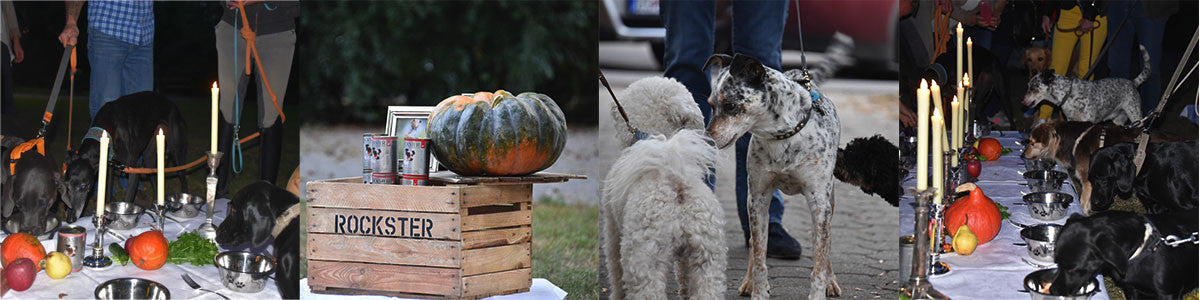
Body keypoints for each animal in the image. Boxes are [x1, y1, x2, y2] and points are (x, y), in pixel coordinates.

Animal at [63, 91, 187, 223]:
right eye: (67, 186)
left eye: (83, 186)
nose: (70, 219)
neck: (109, 125)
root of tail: (170, 102)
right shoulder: (109, 166)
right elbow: (107, 194)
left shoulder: (134, 169)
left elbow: (127, 201)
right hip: (150, 155)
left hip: (176, 152)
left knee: (182, 176)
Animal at [705, 52, 840, 298]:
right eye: (711, 105)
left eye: (730, 105)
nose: (706, 138)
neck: (783, 137)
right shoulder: (758, 197)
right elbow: (759, 254)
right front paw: (758, 290)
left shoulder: (820, 202)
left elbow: (820, 256)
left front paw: (820, 289)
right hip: (752, 200)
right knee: (754, 242)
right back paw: (748, 282)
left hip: (830, 199)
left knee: (826, 243)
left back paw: (831, 281)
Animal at [1017, 44, 1147, 124]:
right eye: (1028, 85)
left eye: (1033, 87)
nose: (1022, 101)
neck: (1068, 94)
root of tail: (1133, 82)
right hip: (1119, 120)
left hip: (1135, 115)